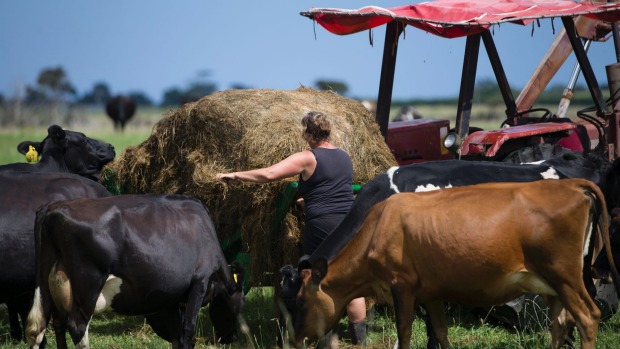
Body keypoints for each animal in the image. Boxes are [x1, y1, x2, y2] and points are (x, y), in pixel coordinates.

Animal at [26, 193, 245, 348]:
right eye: (237, 306)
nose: (232, 337)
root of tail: (52, 207)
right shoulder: (199, 283)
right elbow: (188, 332)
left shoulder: (171, 297)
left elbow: (177, 336)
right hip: (87, 284)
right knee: (77, 327)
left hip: (48, 286)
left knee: (44, 326)